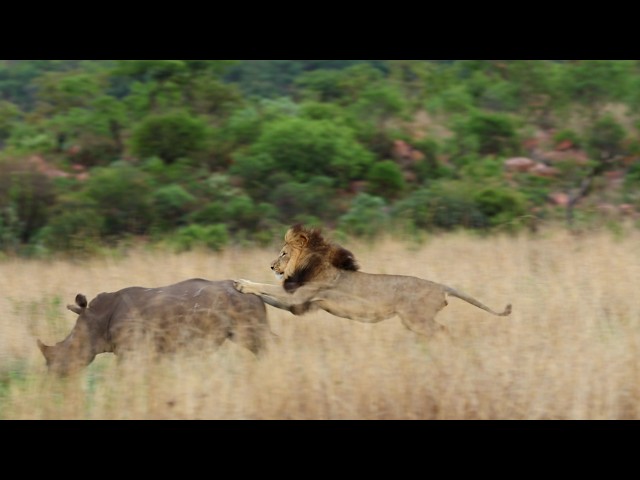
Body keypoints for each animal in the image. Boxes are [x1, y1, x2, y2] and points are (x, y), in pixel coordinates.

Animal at [234, 224, 511, 337]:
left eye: (283, 253)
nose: (271, 266)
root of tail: (440, 286)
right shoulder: (301, 304)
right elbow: (269, 296)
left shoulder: (300, 294)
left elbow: (268, 287)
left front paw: (242, 283)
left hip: (417, 319)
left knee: (443, 331)